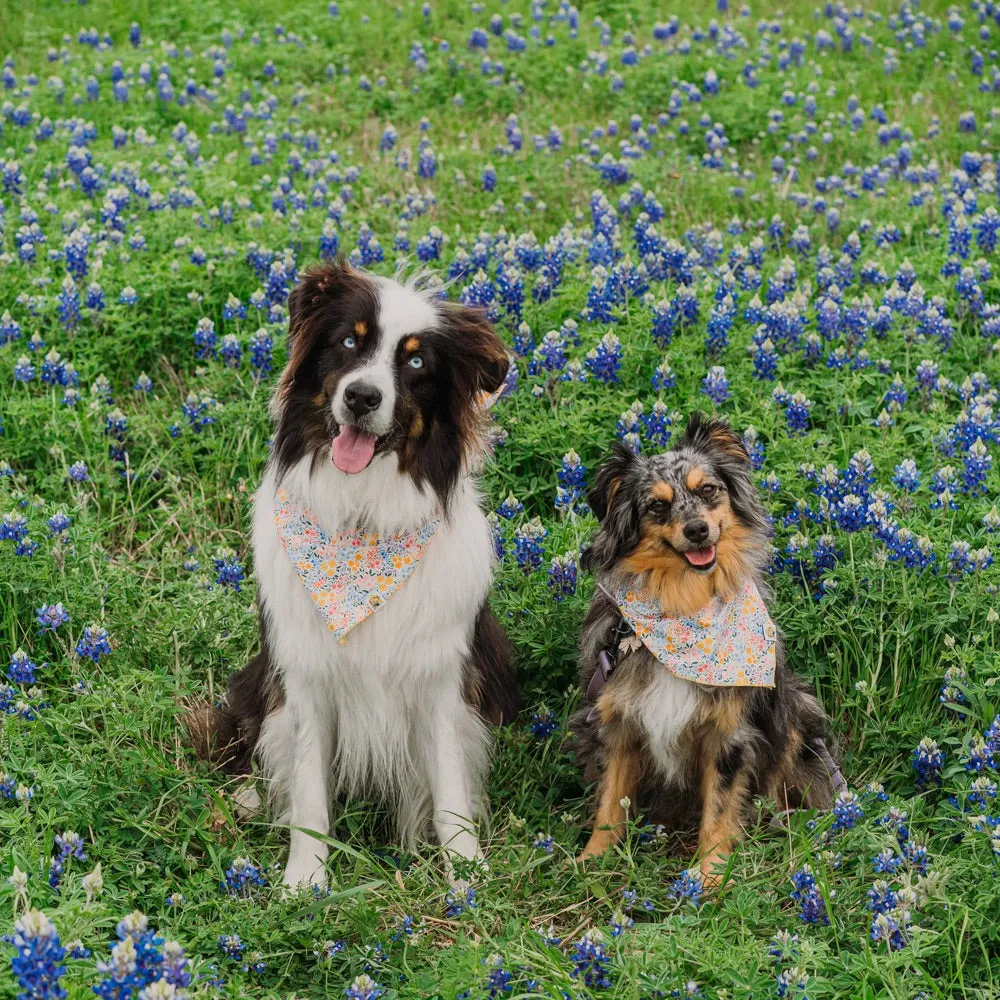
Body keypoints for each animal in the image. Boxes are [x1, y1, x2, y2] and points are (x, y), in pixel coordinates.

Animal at [191, 260, 528, 892]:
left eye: (416, 363)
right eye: (349, 342)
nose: (362, 395)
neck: (363, 521)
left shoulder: (440, 680)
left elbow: (450, 794)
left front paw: (466, 879)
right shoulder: (306, 677)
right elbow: (308, 793)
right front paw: (305, 881)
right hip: (257, 683)